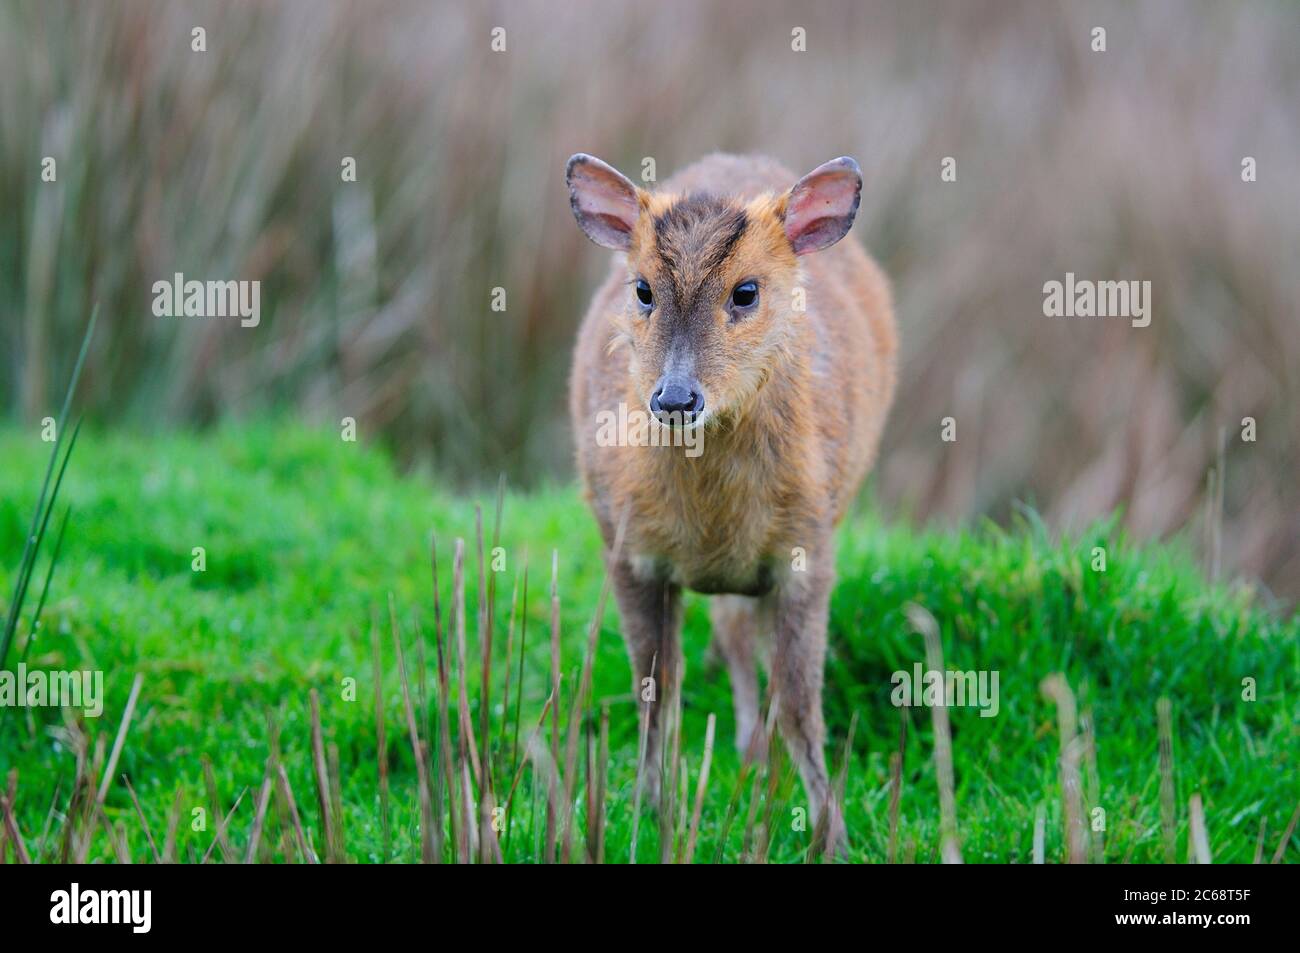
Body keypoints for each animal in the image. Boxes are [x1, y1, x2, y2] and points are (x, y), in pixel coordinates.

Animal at [564, 150, 899, 847]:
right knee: (733, 632)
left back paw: (754, 755)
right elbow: (656, 689)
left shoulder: (809, 550)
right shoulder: (627, 548)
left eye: (745, 292)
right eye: (643, 289)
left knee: (745, 636)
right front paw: (649, 810)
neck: (711, 522)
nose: (674, 397)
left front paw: (833, 834)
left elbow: (800, 704)